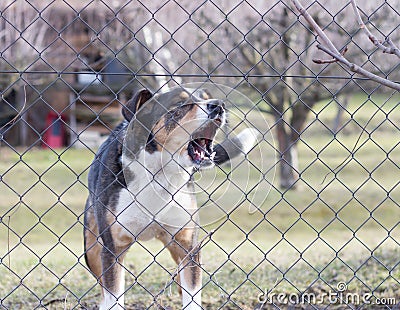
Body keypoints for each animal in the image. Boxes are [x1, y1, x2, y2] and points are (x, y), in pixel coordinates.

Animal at [84, 88, 258, 310]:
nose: (219, 105)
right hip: (92, 249)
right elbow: (113, 295)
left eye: (204, 97)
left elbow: (192, 295)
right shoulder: (112, 250)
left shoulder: (188, 245)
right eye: (179, 103)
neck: (159, 174)